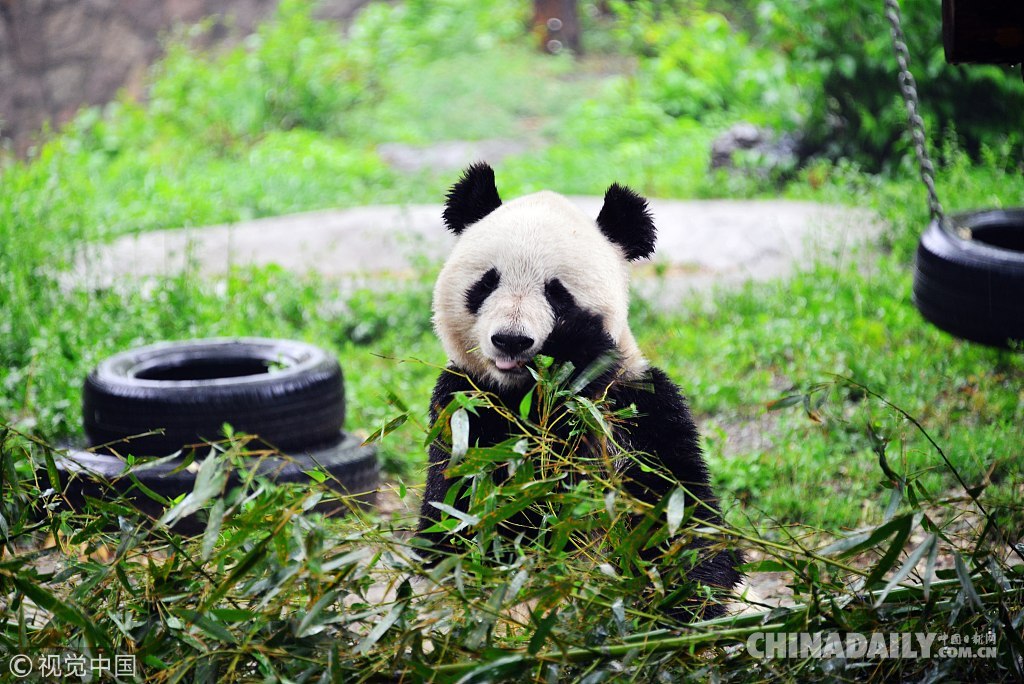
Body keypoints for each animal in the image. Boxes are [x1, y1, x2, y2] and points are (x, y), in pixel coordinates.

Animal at [419, 162, 741, 618]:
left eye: (558, 293)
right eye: (486, 283)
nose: (511, 340)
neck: (524, 393)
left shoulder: (637, 402)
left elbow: (679, 511)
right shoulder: (464, 406)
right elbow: (464, 519)